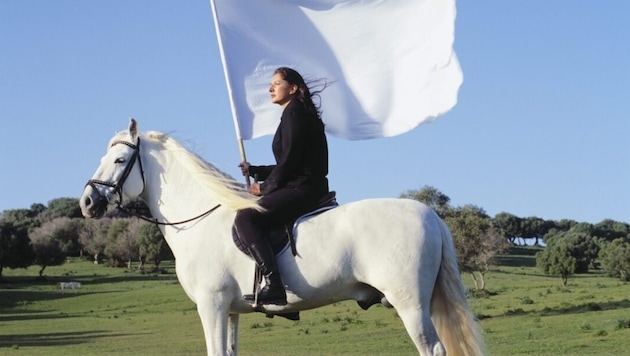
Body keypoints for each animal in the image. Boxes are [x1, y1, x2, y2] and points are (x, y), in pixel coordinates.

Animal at [79, 120, 484, 356]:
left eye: (119, 161)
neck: (200, 218)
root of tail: (430, 214)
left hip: (411, 304)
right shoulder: (230, 311)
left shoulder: (211, 306)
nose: (87, 202)